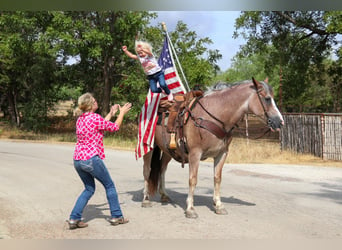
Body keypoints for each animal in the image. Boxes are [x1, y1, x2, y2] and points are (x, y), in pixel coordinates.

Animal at [141, 77, 284, 218]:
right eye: (267, 98)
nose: (280, 122)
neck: (214, 116)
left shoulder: (222, 154)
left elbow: (217, 178)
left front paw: (219, 205)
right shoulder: (195, 154)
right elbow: (193, 179)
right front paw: (190, 209)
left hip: (168, 151)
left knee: (162, 169)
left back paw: (164, 195)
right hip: (148, 147)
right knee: (147, 170)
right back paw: (146, 200)